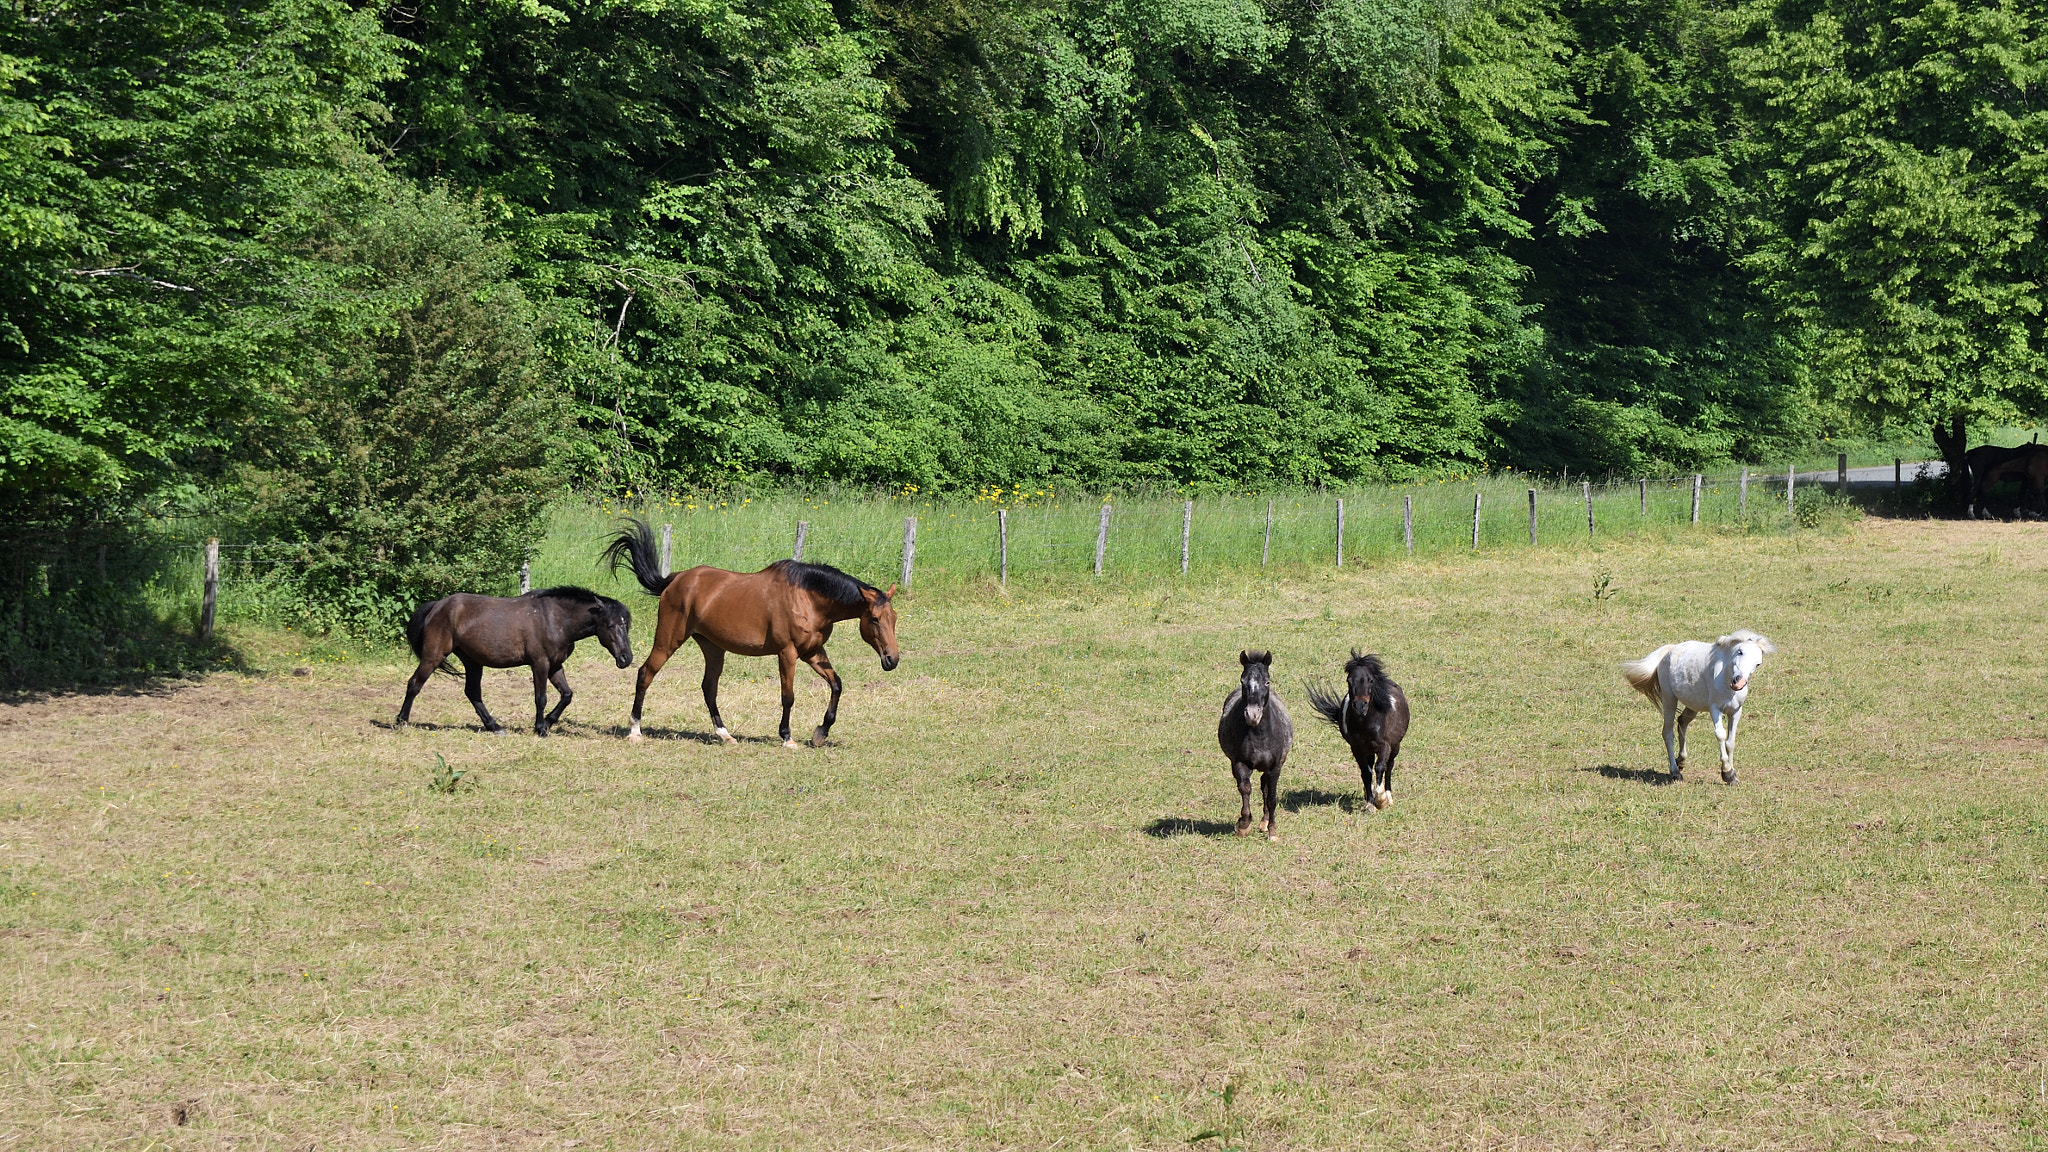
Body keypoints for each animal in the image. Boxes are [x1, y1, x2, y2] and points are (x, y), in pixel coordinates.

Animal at [397, 587, 634, 736]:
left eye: (626, 625)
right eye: (611, 625)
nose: (626, 658)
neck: (554, 619)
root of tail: (437, 606)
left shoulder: (555, 665)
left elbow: (567, 695)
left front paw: (548, 722)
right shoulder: (540, 663)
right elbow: (541, 698)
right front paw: (540, 728)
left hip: (472, 661)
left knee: (473, 693)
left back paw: (494, 726)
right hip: (433, 656)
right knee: (414, 684)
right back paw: (401, 721)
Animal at [600, 519, 900, 748]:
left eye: (894, 618)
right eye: (874, 619)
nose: (892, 660)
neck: (808, 598)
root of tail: (674, 580)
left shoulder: (813, 652)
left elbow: (836, 684)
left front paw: (820, 733)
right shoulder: (788, 653)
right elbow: (788, 696)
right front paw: (787, 737)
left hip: (713, 647)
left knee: (709, 688)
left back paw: (725, 735)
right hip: (668, 640)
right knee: (646, 674)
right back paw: (635, 731)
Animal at [1217, 650, 1294, 841]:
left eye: (1267, 681)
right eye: (1242, 681)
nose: (1252, 715)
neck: (1261, 736)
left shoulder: (1275, 767)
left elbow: (1272, 798)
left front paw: (1273, 832)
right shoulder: (1240, 763)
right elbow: (1245, 789)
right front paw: (1243, 825)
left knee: (1265, 789)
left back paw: (1265, 823)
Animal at [1306, 650, 1410, 811]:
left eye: (1371, 680)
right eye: (1349, 680)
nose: (1360, 706)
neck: (1366, 722)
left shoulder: (1385, 745)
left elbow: (1380, 767)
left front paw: (1381, 800)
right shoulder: (1357, 748)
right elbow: (1366, 773)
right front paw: (1370, 803)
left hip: (1395, 746)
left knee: (1389, 766)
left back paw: (1388, 797)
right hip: (1369, 750)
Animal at [1621, 630, 1773, 784]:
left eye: (1758, 664)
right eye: (1740, 652)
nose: (1738, 682)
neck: (1725, 681)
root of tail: (1669, 650)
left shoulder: (1736, 711)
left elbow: (1730, 742)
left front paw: (1732, 775)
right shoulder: (1715, 709)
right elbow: (1720, 735)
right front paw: (1727, 772)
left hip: (1693, 705)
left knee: (1682, 721)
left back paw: (1681, 761)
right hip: (1669, 700)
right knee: (1667, 733)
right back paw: (1675, 772)